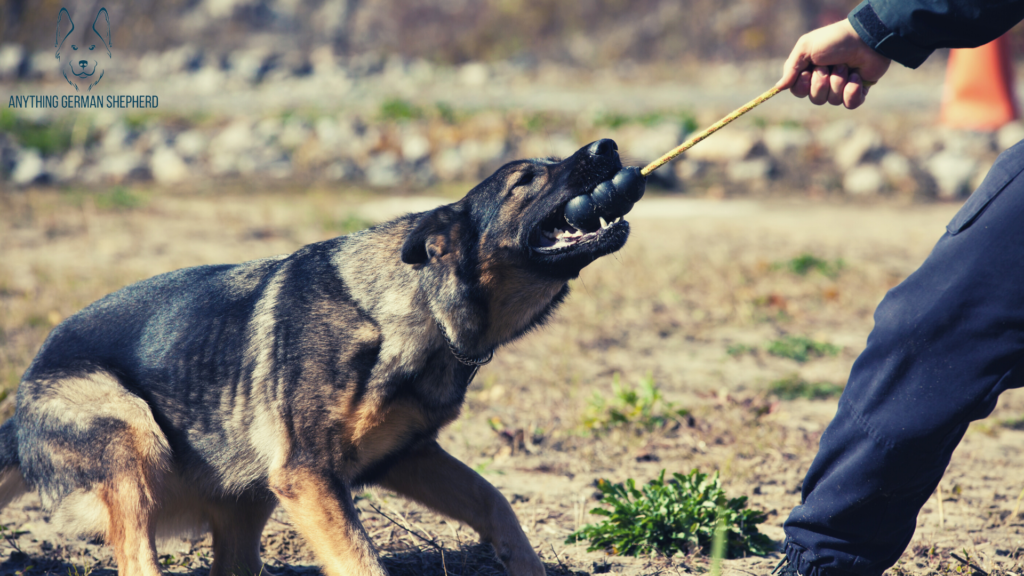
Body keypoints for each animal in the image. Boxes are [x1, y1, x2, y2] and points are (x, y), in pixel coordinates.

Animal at [0, 138, 638, 573]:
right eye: (527, 180)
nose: (607, 146)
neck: (408, 309)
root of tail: (22, 398)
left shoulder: (406, 457)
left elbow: (495, 500)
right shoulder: (309, 477)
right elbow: (362, 560)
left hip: (247, 500)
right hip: (134, 433)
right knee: (138, 561)